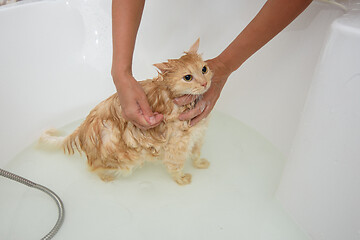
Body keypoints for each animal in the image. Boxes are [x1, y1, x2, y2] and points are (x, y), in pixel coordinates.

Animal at [40, 39, 211, 186]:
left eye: (204, 69)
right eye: (187, 77)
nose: (204, 83)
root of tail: (83, 128)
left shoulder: (198, 135)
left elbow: (196, 154)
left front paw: (200, 163)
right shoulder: (176, 146)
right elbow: (175, 166)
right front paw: (181, 179)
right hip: (120, 158)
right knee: (94, 168)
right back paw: (106, 178)